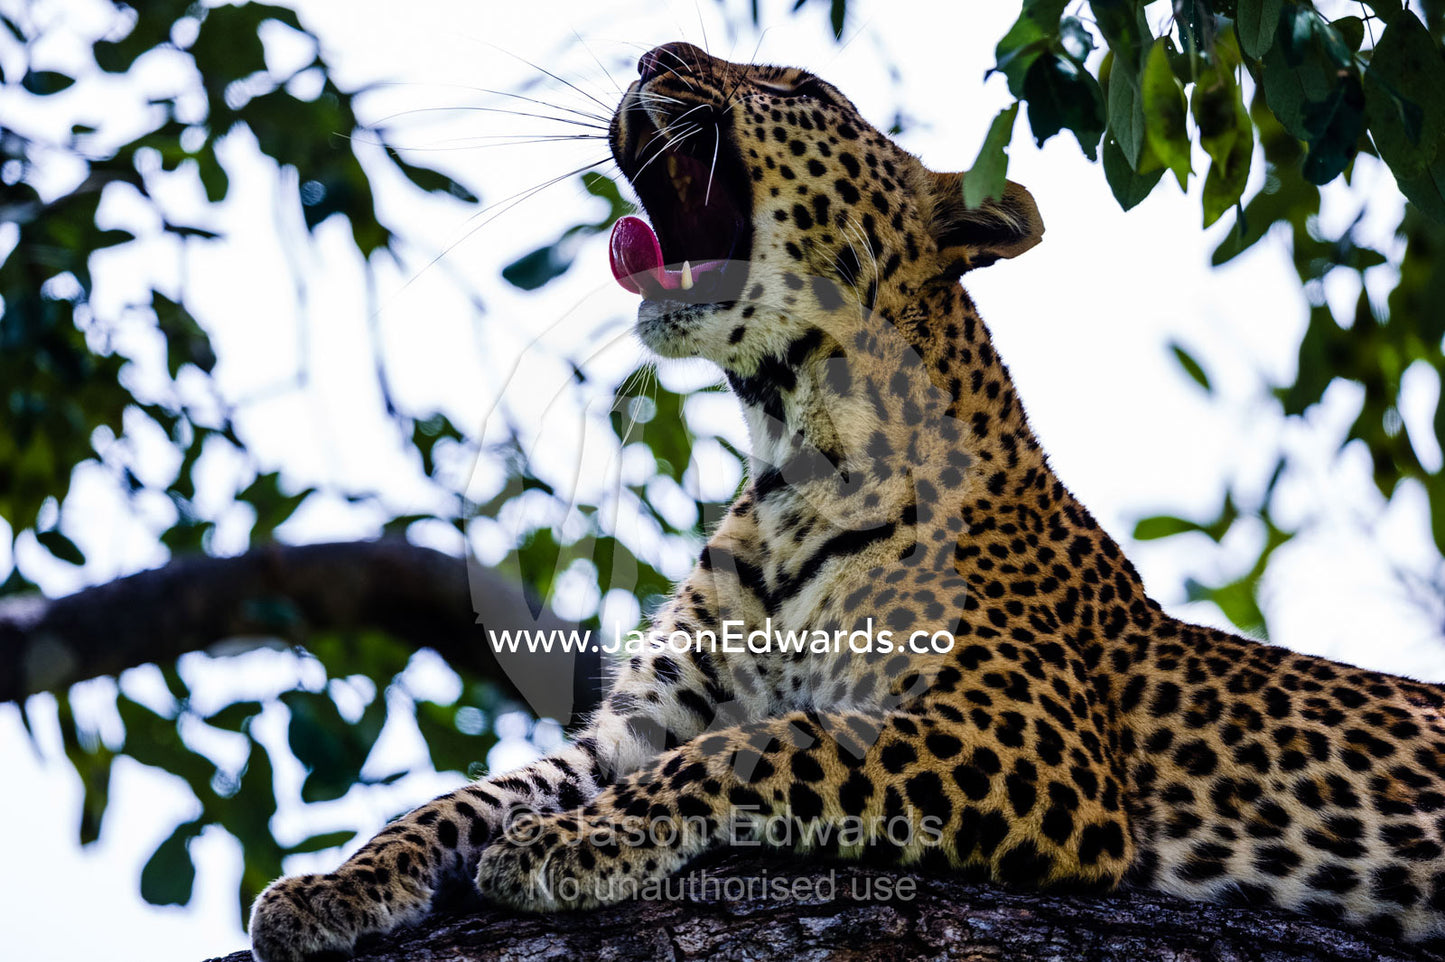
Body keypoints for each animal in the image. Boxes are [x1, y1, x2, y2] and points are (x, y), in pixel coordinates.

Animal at [248, 41, 1445, 961]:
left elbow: (774, 744)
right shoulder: (635, 728)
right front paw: (332, 886)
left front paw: (565, 846)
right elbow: (469, 794)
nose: (648, 58)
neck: (792, 446)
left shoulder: (1024, 739)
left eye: (801, 89)